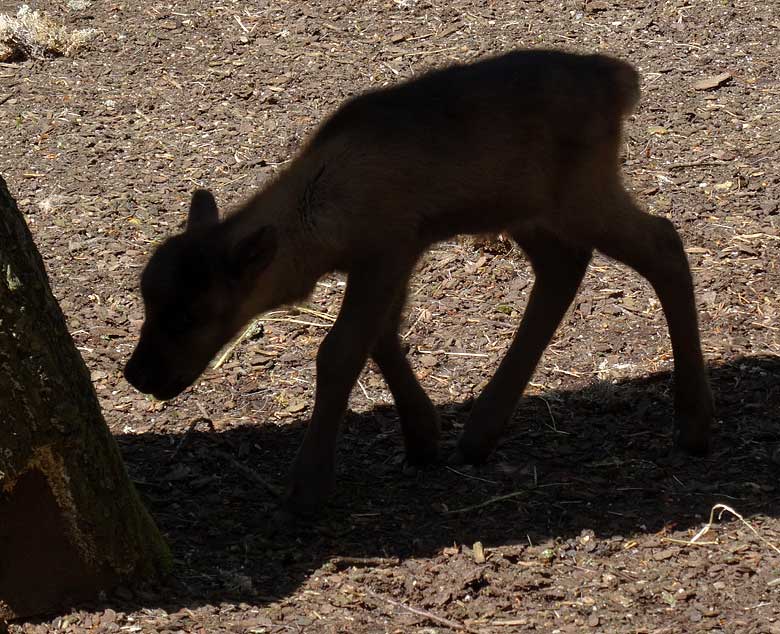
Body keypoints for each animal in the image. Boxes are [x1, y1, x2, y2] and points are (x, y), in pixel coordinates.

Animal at [126, 49, 712, 512]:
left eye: (191, 315)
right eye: (146, 300)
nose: (138, 374)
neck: (323, 217)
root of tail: (619, 79)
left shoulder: (387, 248)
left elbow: (340, 350)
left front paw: (307, 488)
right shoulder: (397, 254)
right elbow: (382, 337)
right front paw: (422, 439)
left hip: (581, 194)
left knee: (663, 243)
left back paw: (693, 425)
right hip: (524, 208)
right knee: (565, 264)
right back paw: (480, 433)